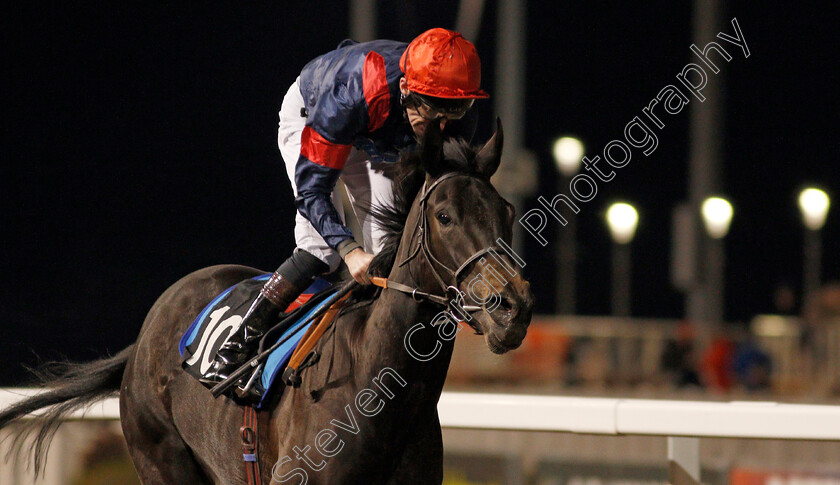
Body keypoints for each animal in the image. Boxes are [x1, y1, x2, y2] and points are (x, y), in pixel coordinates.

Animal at [0, 118, 536, 484]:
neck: (379, 384)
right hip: (160, 456)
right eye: (444, 216)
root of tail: (144, 340)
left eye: (508, 212)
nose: (511, 308)